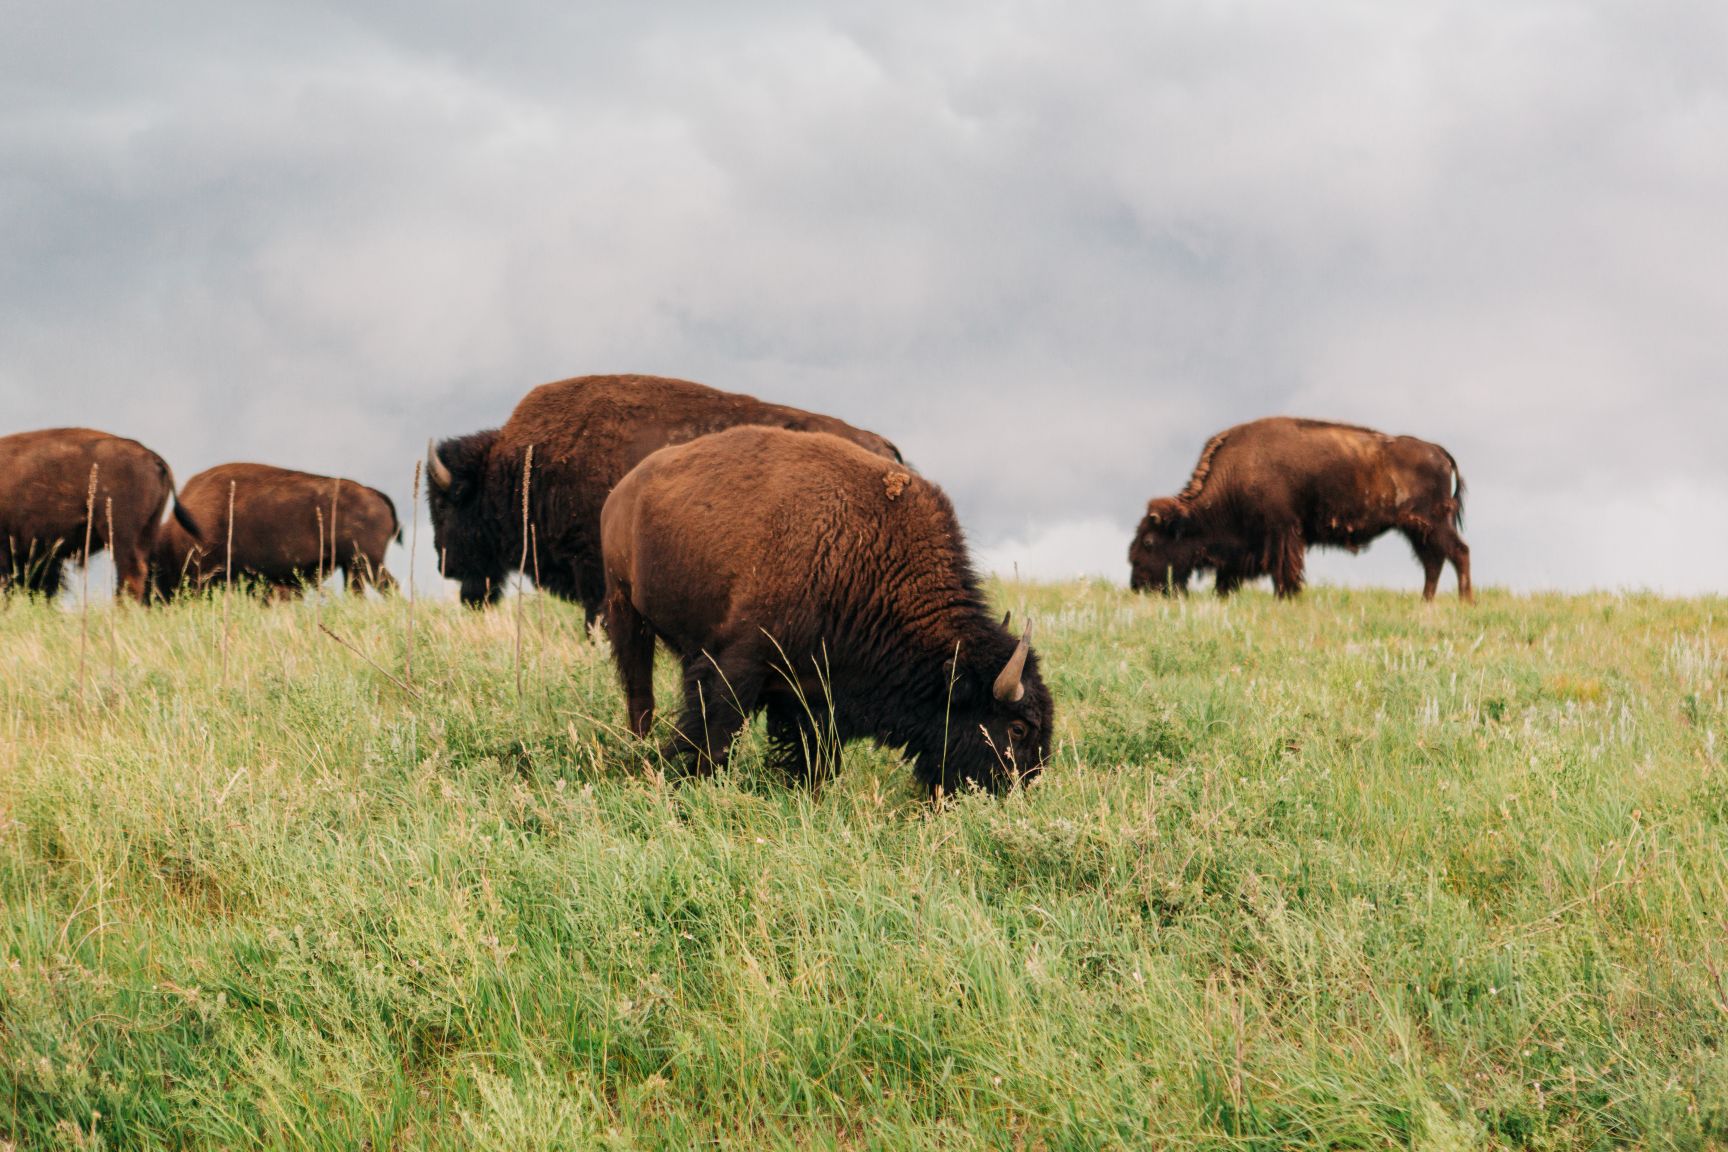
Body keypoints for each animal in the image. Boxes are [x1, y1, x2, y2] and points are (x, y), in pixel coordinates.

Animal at [601, 426, 1052, 796]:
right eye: (1017, 728)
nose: (1023, 785)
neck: (862, 558)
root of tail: (625, 488)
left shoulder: (818, 695)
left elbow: (818, 758)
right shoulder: (739, 662)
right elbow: (717, 732)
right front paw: (694, 779)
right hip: (624, 608)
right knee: (639, 693)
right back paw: (639, 750)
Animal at [1129, 417, 1472, 601]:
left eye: (1149, 541)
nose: (1138, 585)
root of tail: (1438, 451)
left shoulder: (1282, 533)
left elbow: (1285, 571)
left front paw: (1287, 597)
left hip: (1434, 524)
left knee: (1458, 553)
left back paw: (1465, 601)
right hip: (1417, 529)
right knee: (1433, 562)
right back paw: (1426, 602)